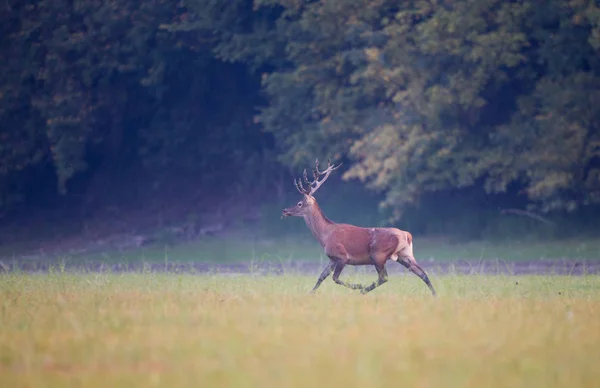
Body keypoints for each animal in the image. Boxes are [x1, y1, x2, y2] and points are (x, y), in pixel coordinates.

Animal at [282, 159, 436, 296]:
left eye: (299, 203)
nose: (285, 210)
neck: (325, 235)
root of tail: (407, 235)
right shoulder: (332, 258)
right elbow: (321, 277)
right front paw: (310, 294)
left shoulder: (342, 255)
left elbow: (335, 278)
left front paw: (358, 286)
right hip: (405, 254)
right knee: (423, 273)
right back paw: (435, 295)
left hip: (378, 254)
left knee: (384, 277)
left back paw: (363, 291)